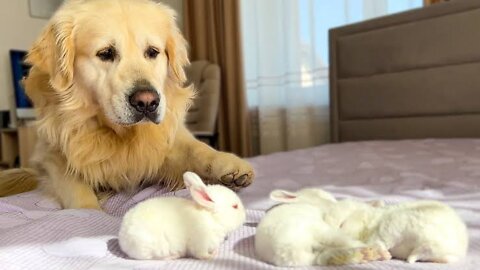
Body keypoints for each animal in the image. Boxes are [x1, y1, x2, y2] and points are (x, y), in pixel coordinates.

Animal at [0, 0, 255, 209]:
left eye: (153, 52)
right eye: (105, 53)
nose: (147, 102)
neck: (118, 135)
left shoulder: (164, 142)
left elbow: (197, 148)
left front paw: (228, 165)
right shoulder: (51, 156)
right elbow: (75, 188)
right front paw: (90, 212)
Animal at [116, 172, 244, 260]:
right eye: (235, 206)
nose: (245, 216)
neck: (212, 219)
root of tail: (122, 238)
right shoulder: (200, 244)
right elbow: (202, 255)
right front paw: (213, 255)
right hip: (156, 248)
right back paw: (175, 255)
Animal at [255, 189, 390, 266]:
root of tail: (287, 249)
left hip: (315, 253)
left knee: (324, 257)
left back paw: (363, 255)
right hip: (324, 232)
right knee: (347, 242)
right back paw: (377, 252)